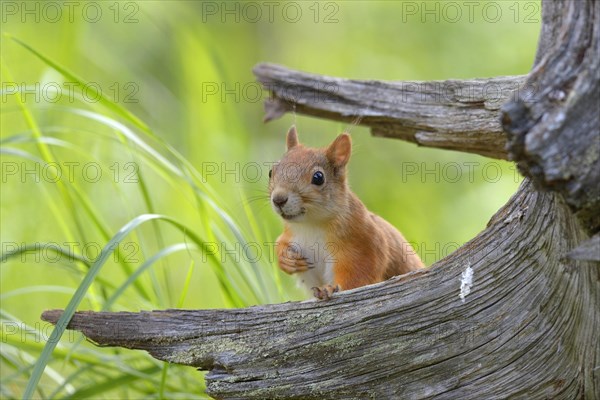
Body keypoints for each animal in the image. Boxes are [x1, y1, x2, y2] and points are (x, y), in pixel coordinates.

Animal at [270, 126, 424, 298]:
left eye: (318, 177)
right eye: (271, 172)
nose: (278, 199)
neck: (311, 225)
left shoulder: (364, 245)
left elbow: (357, 279)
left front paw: (329, 289)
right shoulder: (291, 235)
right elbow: (281, 243)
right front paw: (286, 259)